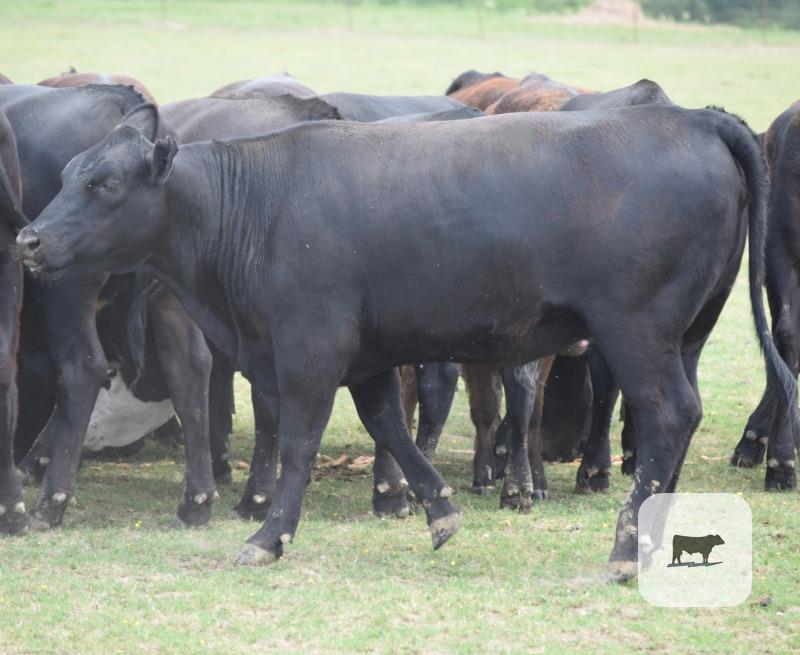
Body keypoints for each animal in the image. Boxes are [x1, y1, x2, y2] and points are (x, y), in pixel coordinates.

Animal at [0, 85, 216, 531]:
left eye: (104, 184)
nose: (30, 239)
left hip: (67, 289)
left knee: (82, 368)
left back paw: (50, 500)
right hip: (168, 295)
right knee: (191, 366)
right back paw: (196, 502)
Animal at [18, 105, 791, 582]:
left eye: (105, 182)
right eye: (68, 174)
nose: (28, 239)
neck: (258, 202)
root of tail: (692, 118)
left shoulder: (308, 351)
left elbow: (299, 443)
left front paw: (269, 537)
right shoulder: (364, 357)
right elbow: (388, 422)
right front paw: (441, 512)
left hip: (636, 333)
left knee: (667, 415)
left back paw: (628, 548)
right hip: (687, 334)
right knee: (680, 419)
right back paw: (654, 538)